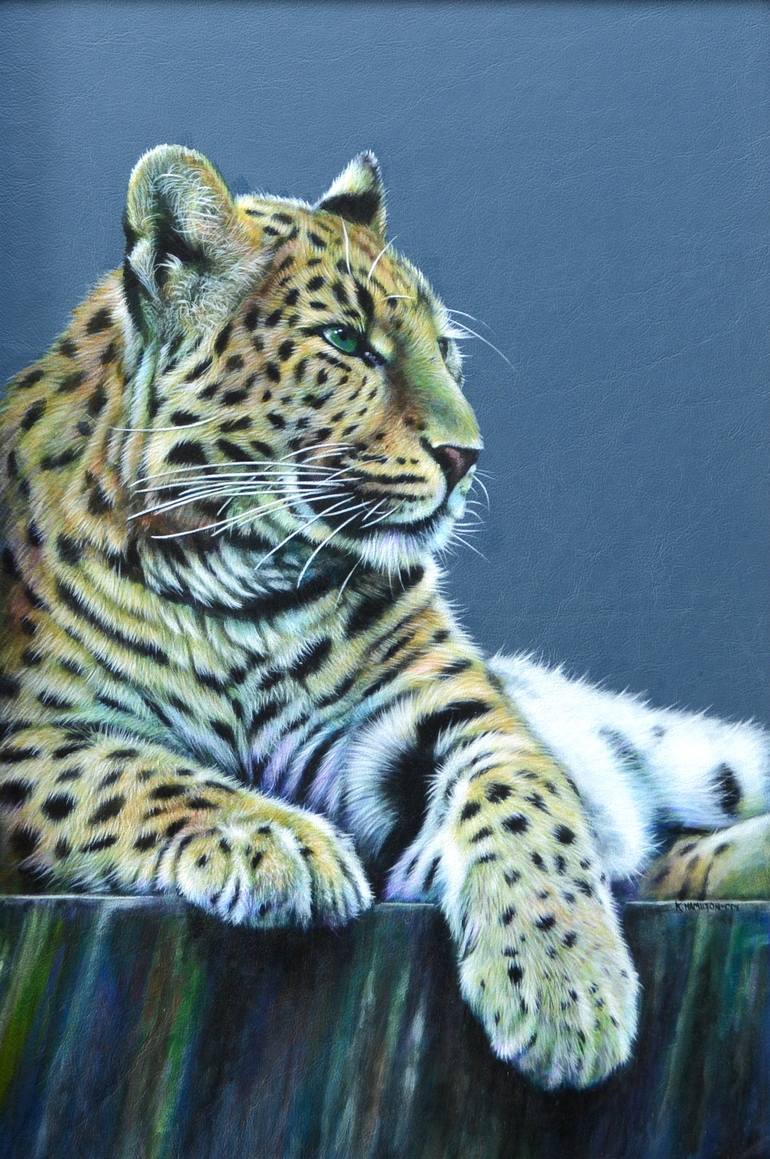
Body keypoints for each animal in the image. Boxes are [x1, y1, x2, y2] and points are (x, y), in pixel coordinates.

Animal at [1, 145, 768, 1090]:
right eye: (344, 342)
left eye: (446, 351)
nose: (465, 455)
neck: (241, 587)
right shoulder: (28, 735)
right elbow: (126, 771)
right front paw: (279, 840)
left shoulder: (452, 716)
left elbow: (528, 801)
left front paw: (565, 987)